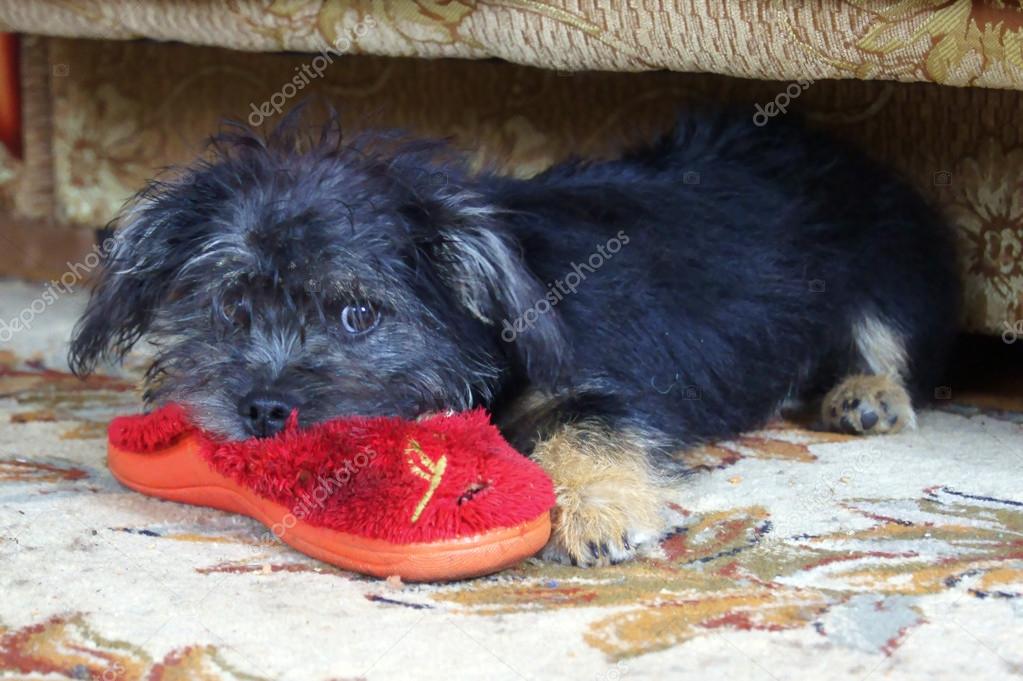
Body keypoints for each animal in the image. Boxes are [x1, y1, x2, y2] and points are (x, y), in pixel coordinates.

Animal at [70, 107, 957, 560]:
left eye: (360, 314)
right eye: (228, 306)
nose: (259, 411)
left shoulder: (601, 382)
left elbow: (584, 426)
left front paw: (598, 510)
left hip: (886, 259)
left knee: (885, 338)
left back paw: (865, 394)